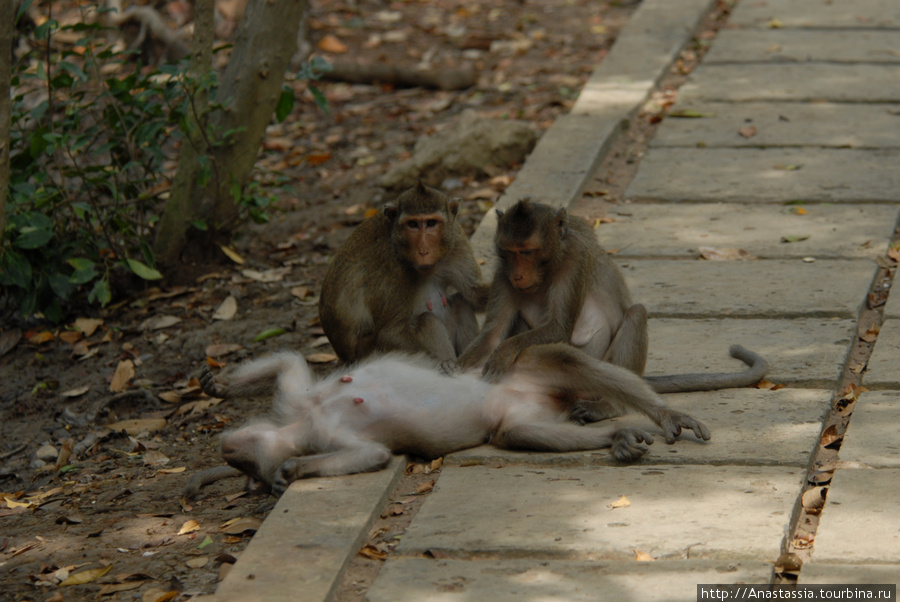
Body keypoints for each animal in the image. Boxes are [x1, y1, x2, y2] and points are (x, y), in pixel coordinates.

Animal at [183, 342, 712, 496]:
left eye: (240, 463)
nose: (227, 450)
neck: (299, 426)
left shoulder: (306, 412)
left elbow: (288, 363)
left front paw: (220, 386)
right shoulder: (314, 425)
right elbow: (373, 455)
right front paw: (289, 472)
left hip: (524, 367)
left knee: (564, 356)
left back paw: (663, 413)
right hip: (520, 408)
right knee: (517, 431)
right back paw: (618, 434)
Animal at [316, 180, 486, 364]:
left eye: (431, 223)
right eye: (412, 224)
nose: (423, 250)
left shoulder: (457, 238)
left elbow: (474, 293)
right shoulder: (393, 267)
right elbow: (390, 332)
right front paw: (441, 365)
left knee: (462, 303)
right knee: (426, 321)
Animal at [458, 197, 768, 394]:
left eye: (528, 252)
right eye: (510, 252)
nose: (519, 276)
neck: (550, 267)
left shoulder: (575, 262)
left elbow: (558, 327)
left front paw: (502, 354)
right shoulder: (501, 274)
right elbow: (494, 333)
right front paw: (454, 368)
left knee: (636, 313)